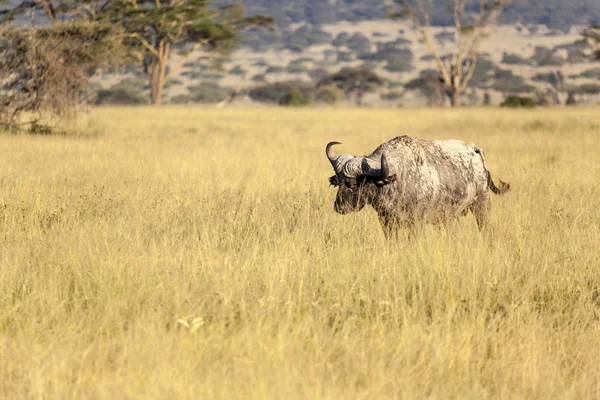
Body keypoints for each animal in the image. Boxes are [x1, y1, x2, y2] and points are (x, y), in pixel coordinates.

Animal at [326, 136, 508, 236]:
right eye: (338, 182)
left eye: (353, 183)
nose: (339, 207)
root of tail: (474, 150)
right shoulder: (387, 223)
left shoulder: (417, 223)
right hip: (451, 217)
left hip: (481, 204)